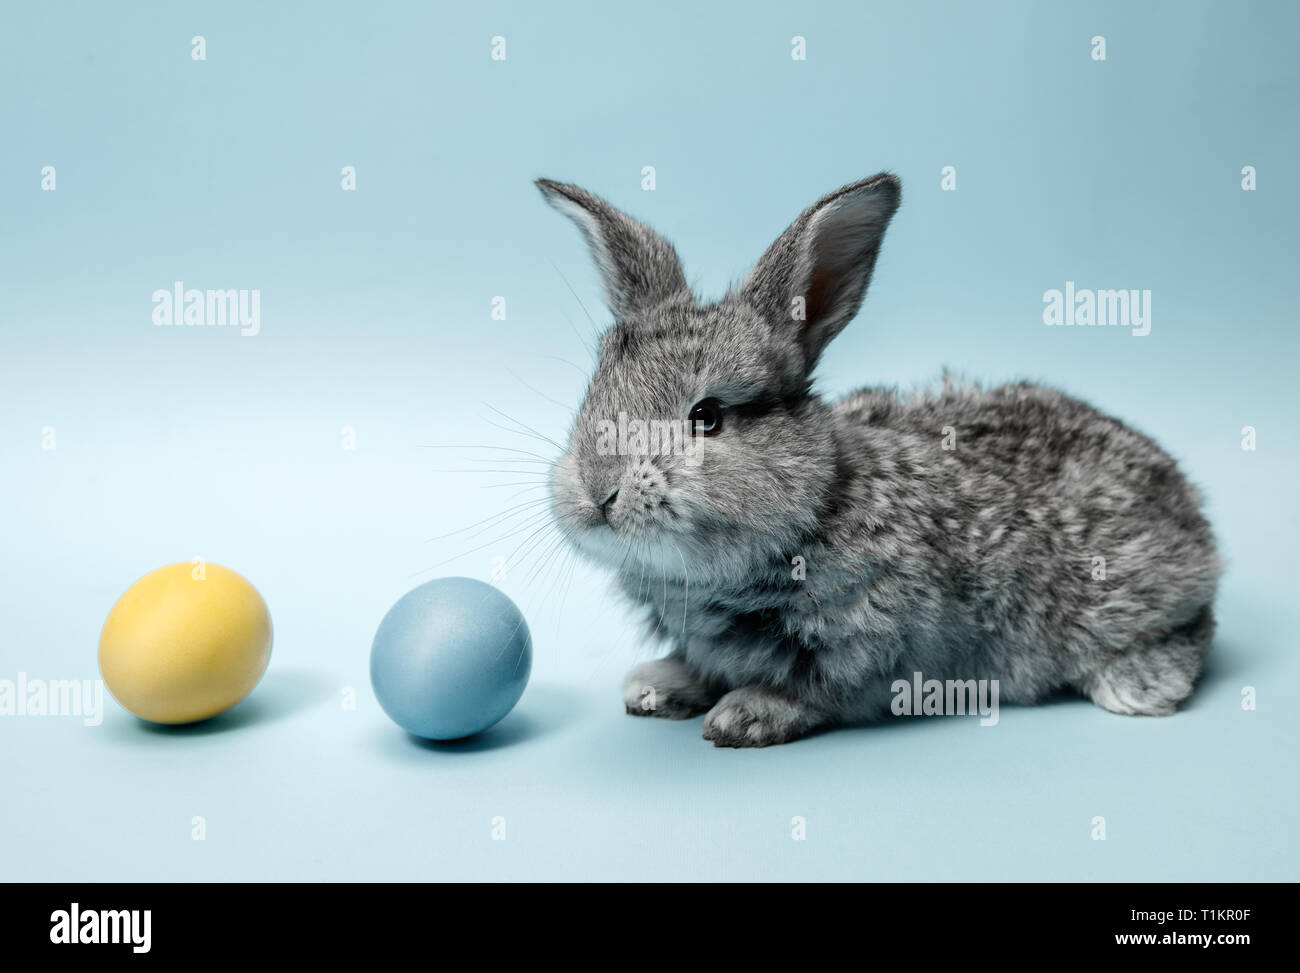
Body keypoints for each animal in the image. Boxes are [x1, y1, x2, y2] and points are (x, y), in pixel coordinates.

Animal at [537, 173, 1221, 747]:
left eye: (706, 416)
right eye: (596, 392)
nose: (597, 491)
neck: (815, 506)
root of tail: (1190, 510)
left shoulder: (873, 645)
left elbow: (821, 691)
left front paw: (745, 714)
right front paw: (658, 685)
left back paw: (1138, 684)